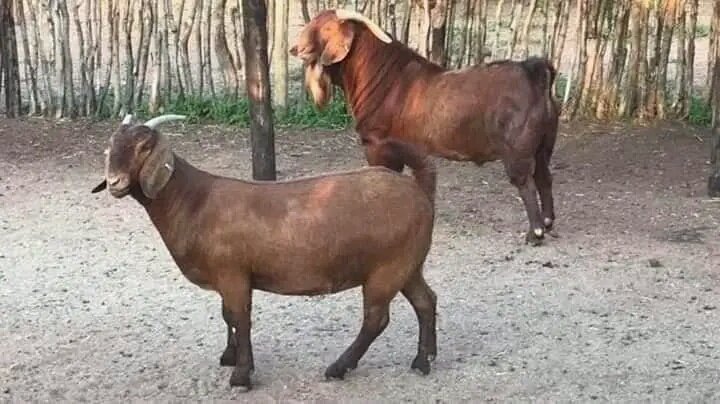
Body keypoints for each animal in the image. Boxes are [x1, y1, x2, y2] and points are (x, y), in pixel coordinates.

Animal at [91, 114, 438, 391]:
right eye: (110, 147)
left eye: (143, 147)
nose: (114, 182)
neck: (193, 200)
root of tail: (418, 190)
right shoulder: (230, 276)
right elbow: (228, 315)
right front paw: (231, 357)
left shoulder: (232, 274)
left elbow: (240, 317)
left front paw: (241, 376)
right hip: (408, 265)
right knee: (425, 301)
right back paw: (424, 361)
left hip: (387, 267)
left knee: (376, 318)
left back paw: (339, 367)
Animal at [290, 9, 560, 245]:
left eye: (325, 26)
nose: (295, 48)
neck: (385, 77)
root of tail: (533, 72)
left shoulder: (376, 146)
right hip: (543, 146)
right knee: (544, 177)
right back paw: (548, 222)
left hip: (517, 150)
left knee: (526, 182)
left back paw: (535, 233)